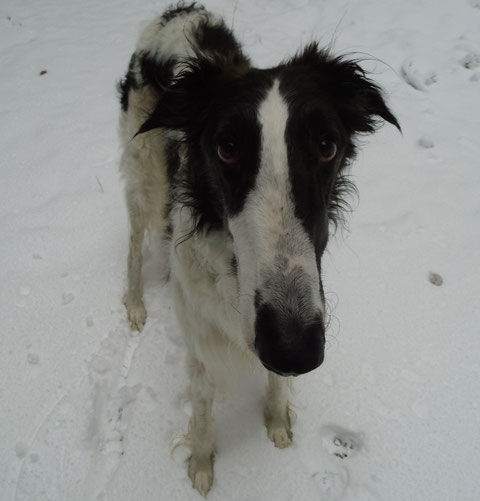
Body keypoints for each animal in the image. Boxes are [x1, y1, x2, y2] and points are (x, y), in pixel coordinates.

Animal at [118, 2, 400, 496]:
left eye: (326, 145)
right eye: (227, 147)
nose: (294, 351)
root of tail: (179, 10)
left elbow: (273, 384)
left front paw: (277, 422)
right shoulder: (203, 338)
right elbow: (202, 407)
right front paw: (202, 467)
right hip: (144, 171)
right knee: (135, 244)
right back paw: (135, 305)